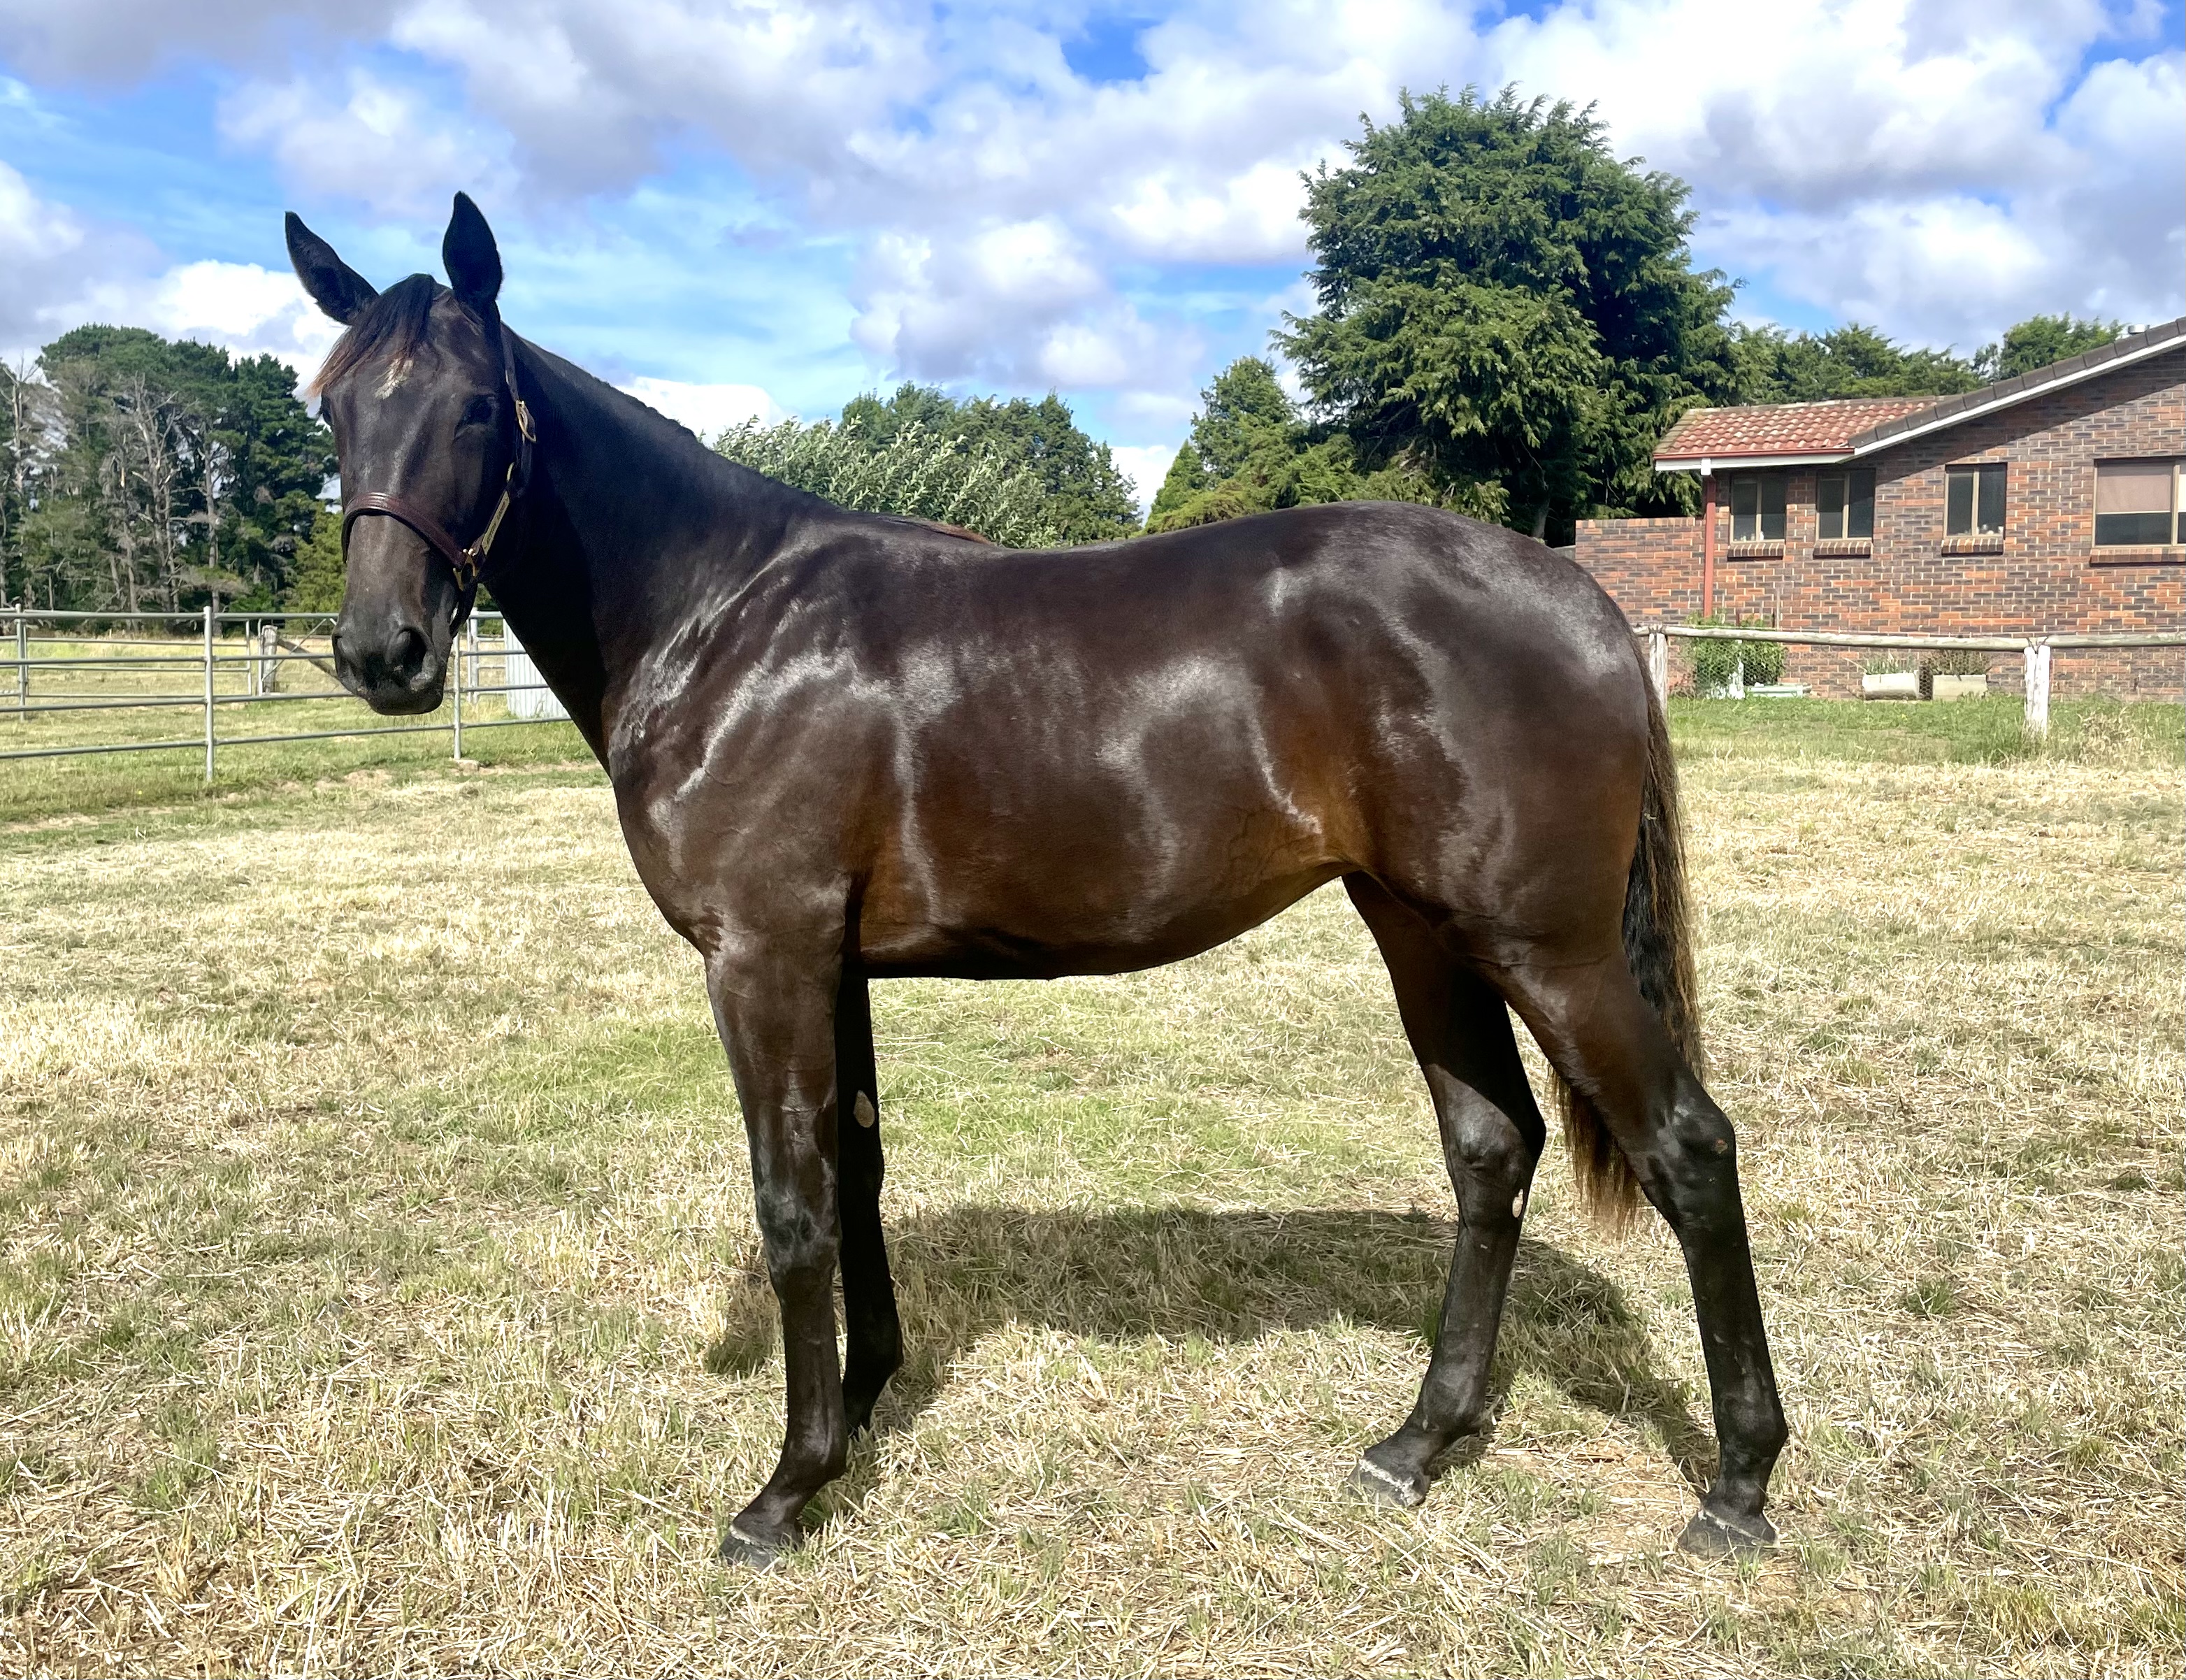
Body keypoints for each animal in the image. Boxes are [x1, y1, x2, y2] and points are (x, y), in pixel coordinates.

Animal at [288, 193, 1785, 1568]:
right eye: (331, 410)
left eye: (475, 410)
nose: (382, 652)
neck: (724, 620)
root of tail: (1583, 602)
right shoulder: (831, 962)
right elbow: (856, 1167)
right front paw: (865, 1402)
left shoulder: (763, 955)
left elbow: (791, 1200)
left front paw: (787, 1487)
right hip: (1421, 928)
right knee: (1491, 1148)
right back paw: (1420, 1439)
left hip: (1550, 948)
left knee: (1686, 1148)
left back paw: (1738, 1482)